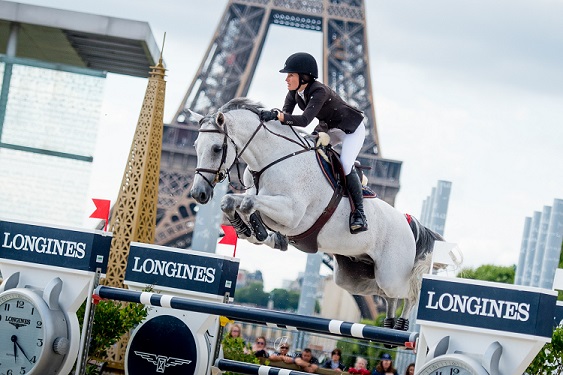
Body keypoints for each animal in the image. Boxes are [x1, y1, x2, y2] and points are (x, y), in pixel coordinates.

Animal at [189, 97, 446, 332]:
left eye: (216, 148)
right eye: (195, 146)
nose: (198, 193)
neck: (273, 159)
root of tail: (407, 222)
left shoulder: (292, 214)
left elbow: (249, 203)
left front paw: (257, 230)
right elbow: (232, 201)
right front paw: (251, 231)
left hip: (391, 274)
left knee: (409, 291)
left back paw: (402, 323)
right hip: (353, 277)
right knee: (384, 295)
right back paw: (389, 323)